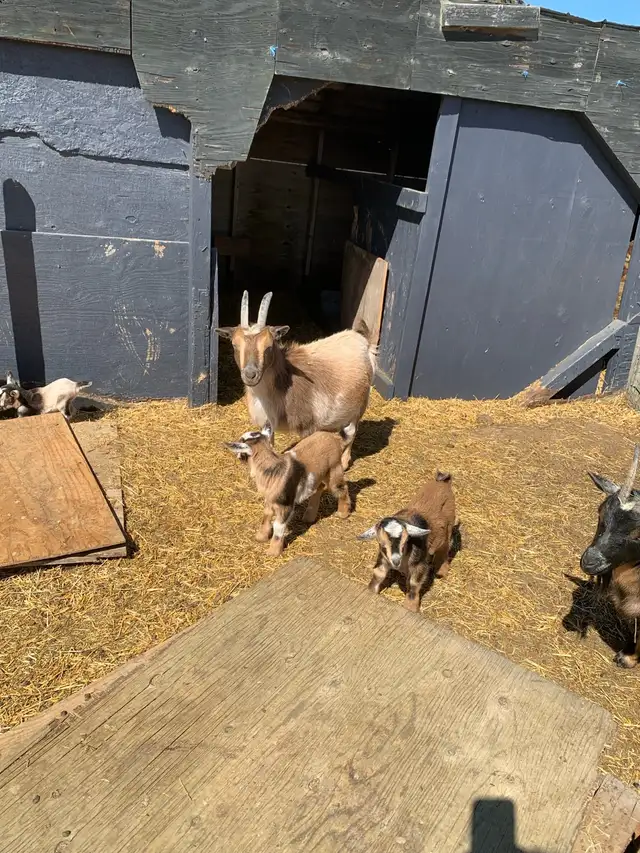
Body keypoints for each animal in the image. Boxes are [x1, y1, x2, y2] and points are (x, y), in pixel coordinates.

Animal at [216, 291, 376, 469]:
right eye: (234, 345)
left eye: (269, 346)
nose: (251, 374)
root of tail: (363, 342)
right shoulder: (267, 422)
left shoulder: (309, 424)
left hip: (360, 405)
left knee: (353, 430)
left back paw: (344, 461)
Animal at [225, 422, 354, 557]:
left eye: (241, 443)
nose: (238, 456)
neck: (274, 469)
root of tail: (336, 438)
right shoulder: (270, 499)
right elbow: (266, 516)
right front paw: (261, 537)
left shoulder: (285, 505)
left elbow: (278, 527)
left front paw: (273, 552)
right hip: (318, 475)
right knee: (319, 488)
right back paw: (309, 517)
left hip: (334, 469)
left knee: (341, 488)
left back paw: (343, 513)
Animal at [358, 472, 458, 612]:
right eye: (382, 545)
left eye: (405, 542)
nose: (395, 561)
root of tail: (442, 481)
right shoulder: (384, 559)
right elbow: (378, 574)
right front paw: (371, 590)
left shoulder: (419, 564)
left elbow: (414, 584)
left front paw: (411, 607)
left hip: (448, 526)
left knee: (445, 546)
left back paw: (441, 571)